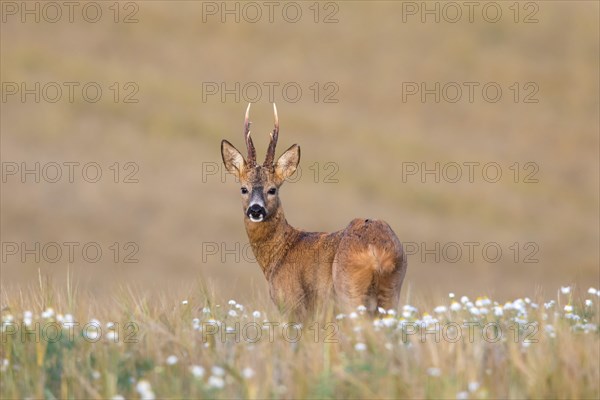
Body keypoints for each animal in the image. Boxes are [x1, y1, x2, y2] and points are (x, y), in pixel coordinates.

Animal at [220, 103, 408, 318]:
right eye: (244, 189)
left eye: (272, 189)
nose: (256, 209)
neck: (280, 253)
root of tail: (377, 253)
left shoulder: (293, 304)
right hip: (392, 291)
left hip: (349, 290)